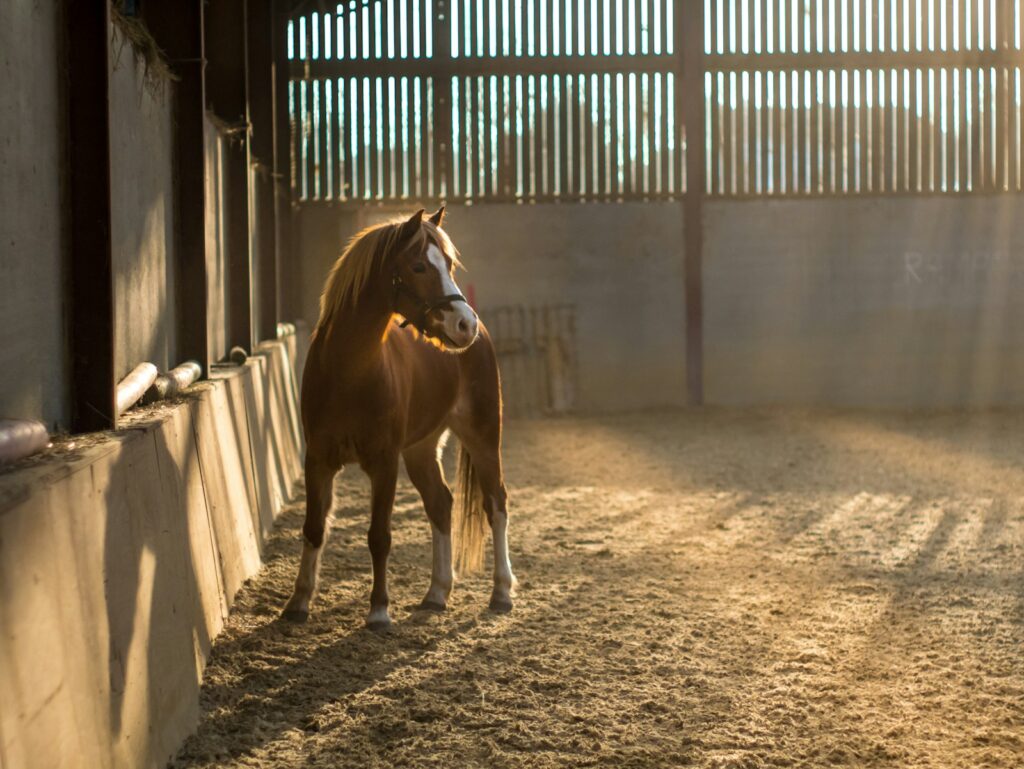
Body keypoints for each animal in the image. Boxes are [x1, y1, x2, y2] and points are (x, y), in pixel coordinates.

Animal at [282, 207, 516, 630]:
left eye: (450, 264)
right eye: (419, 266)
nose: (464, 324)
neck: (349, 370)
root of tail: (484, 336)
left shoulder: (384, 462)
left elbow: (379, 535)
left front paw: (378, 611)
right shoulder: (318, 460)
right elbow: (313, 528)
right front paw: (298, 602)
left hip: (483, 437)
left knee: (496, 503)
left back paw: (502, 592)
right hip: (421, 450)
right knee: (441, 504)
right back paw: (437, 593)